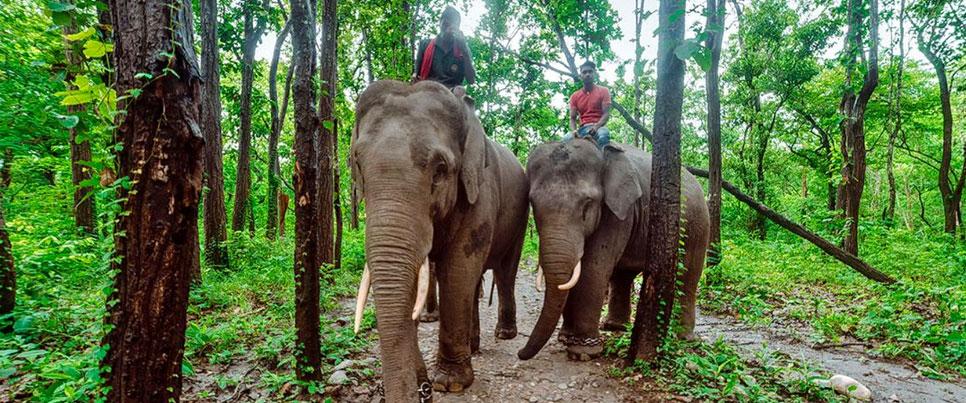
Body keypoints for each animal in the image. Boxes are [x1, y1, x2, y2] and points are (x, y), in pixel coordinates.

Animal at [348, 80, 528, 402]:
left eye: (440, 169)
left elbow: (457, 270)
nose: (423, 392)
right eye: (358, 162)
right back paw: (474, 345)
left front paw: (450, 383)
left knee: (504, 272)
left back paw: (505, 334)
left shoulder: (479, 192)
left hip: (520, 218)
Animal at [520, 140, 716, 362]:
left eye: (588, 203)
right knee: (623, 276)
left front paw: (582, 352)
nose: (520, 354)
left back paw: (683, 336)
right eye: (532, 203)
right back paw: (615, 326)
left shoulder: (618, 212)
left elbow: (593, 269)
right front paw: (565, 337)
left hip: (698, 226)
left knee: (688, 276)